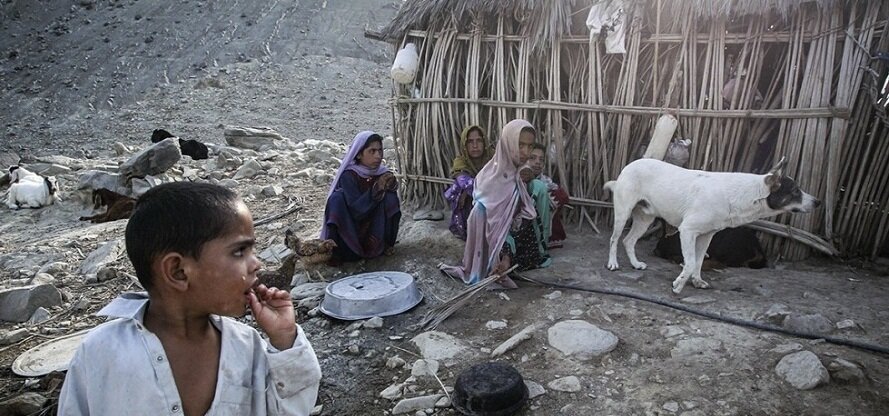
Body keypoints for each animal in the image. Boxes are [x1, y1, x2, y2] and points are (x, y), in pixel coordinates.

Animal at [604, 158, 820, 294]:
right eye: (795, 191)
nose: (818, 202)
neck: (742, 194)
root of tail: (630, 165)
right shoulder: (687, 231)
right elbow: (690, 262)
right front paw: (678, 285)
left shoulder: (706, 236)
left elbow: (699, 262)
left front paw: (696, 281)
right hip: (623, 213)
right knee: (614, 239)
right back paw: (613, 264)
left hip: (645, 219)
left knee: (628, 240)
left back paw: (635, 264)